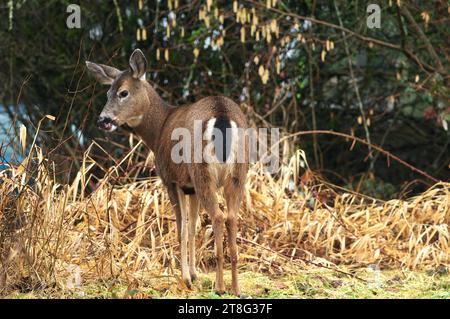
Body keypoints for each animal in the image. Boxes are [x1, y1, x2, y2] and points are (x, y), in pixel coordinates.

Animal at [85, 48, 248, 296]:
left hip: (201, 170)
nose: (103, 120)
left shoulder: (171, 180)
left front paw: (186, 279)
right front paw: (194, 274)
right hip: (238, 172)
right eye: (107, 93)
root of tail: (221, 114)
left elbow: (181, 228)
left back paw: (220, 287)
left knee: (219, 216)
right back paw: (236, 288)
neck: (159, 128)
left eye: (123, 93)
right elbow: (193, 227)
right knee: (231, 217)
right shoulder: (190, 187)